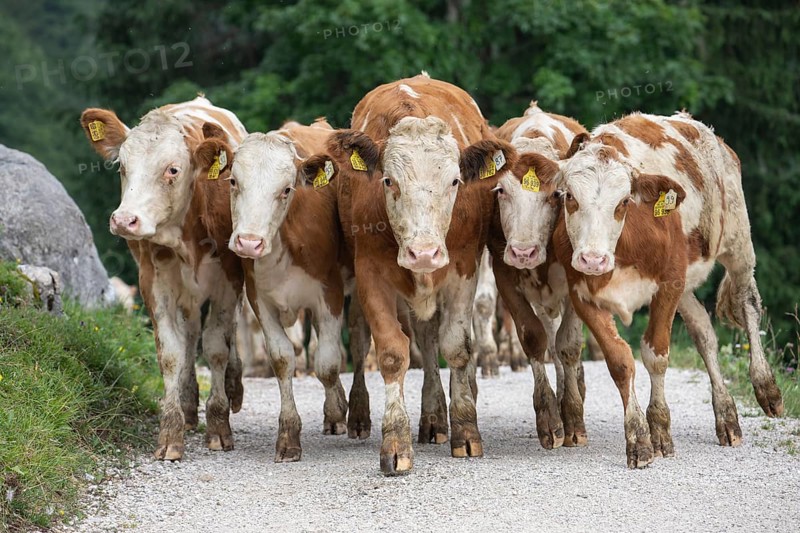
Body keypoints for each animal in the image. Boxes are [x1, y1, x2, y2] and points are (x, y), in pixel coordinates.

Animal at [80, 96, 247, 461]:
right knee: (190, 335)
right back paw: (188, 406)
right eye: (122, 166)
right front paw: (170, 433)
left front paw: (218, 427)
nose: (124, 220)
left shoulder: (228, 281)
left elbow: (217, 347)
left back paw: (233, 387)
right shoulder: (153, 282)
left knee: (230, 332)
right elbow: (171, 352)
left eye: (172, 169)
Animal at [301, 73, 517, 474]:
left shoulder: (463, 268)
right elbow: (391, 353)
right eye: (388, 181)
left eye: (454, 182)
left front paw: (466, 431)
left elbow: (457, 347)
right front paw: (396, 443)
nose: (424, 252)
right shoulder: (370, 273)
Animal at [489, 101, 589, 448]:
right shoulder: (504, 276)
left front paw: (572, 418)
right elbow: (535, 338)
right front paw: (550, 419)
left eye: (556, 195)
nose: (523, 252)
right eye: (501, 191)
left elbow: (569, 344)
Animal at [551, 111, 783, 467]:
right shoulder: (582, 293)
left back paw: (765, 386)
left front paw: (659, 429)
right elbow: (620, 361)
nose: (593, 258)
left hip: (738, 244)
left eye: (623, 202)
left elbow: (656, 356)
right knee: (704, 333)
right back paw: (726, 415)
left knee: (748, 304)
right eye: (569, 197)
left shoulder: (669, 283)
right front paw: (638, 437)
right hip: (687, 283)